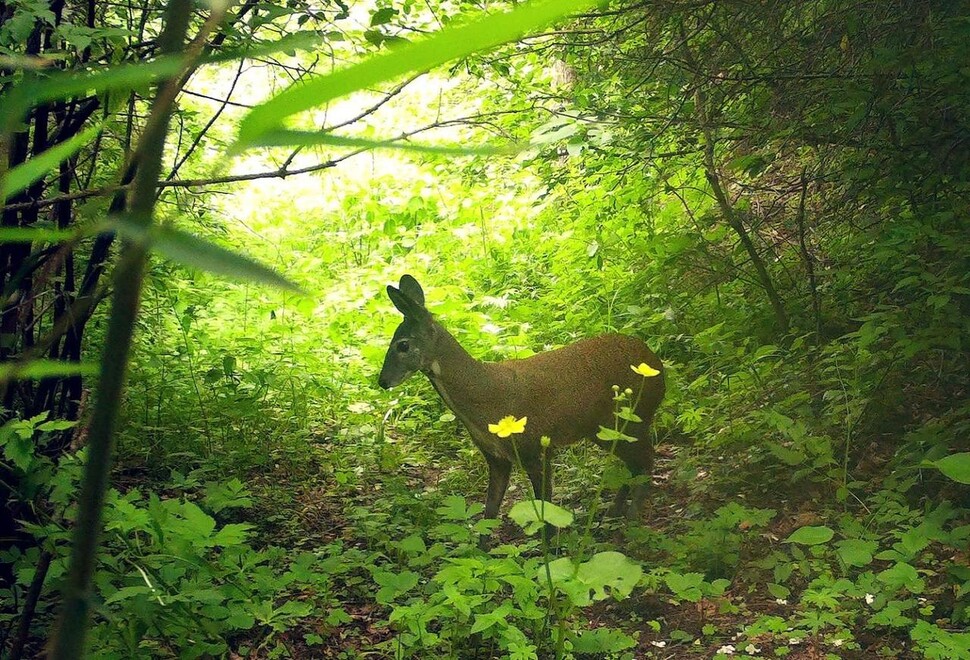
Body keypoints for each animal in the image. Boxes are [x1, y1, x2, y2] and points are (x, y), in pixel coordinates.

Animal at [378, 274, 664, 524]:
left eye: (402, 345)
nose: (382, 381)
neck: (484, 400)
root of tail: (657, 363)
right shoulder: (496, 458)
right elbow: (489, 514)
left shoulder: (534, 447)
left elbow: (546, 514)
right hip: (604, 430)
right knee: (634, 464)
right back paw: (615, 510)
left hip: (633, 417)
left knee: (646, 460)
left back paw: (631, 517)